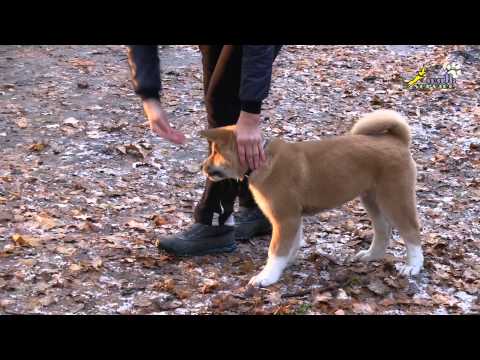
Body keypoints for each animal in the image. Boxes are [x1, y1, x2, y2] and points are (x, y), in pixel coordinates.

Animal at [201, 109, 422, 286]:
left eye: (216, 151)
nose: (202, 167)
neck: (262, 160)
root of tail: (396, 141)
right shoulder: (292, 218)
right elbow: (291, 245)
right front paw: (285, 264)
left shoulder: (285, 218)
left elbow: (276, 250)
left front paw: (267, 276)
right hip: (372, 199)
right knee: (383, 229)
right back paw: (371, 256)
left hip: (395, 199)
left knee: (411, 232)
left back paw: (413, 267)